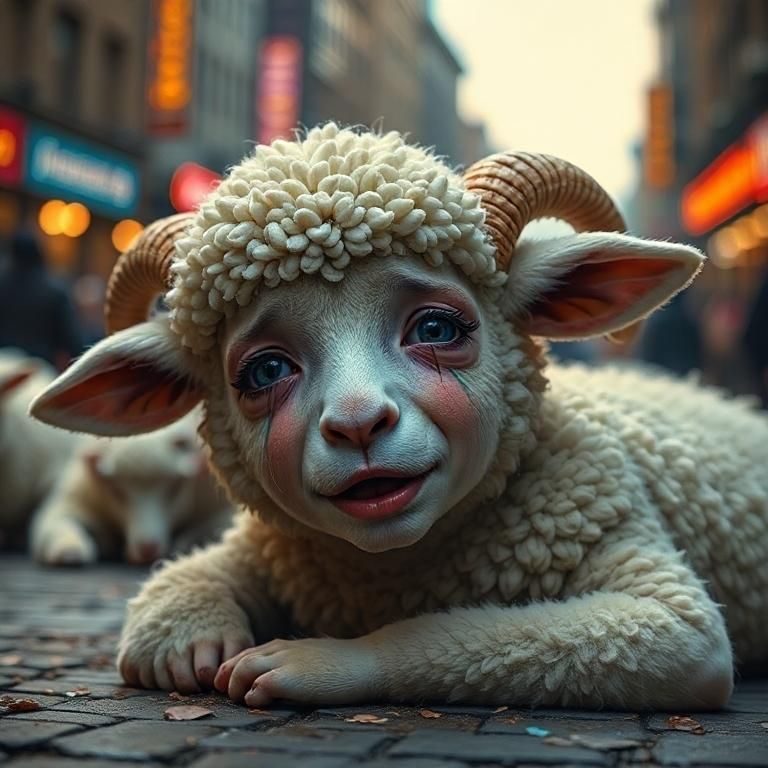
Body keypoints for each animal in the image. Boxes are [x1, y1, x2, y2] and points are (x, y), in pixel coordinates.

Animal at [30, 409, 233, 565]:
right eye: (116, 491)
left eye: (175, 488)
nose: (147, 549)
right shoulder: (76, 498)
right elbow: (58, 522)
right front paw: (69, 551)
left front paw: (183, 547)